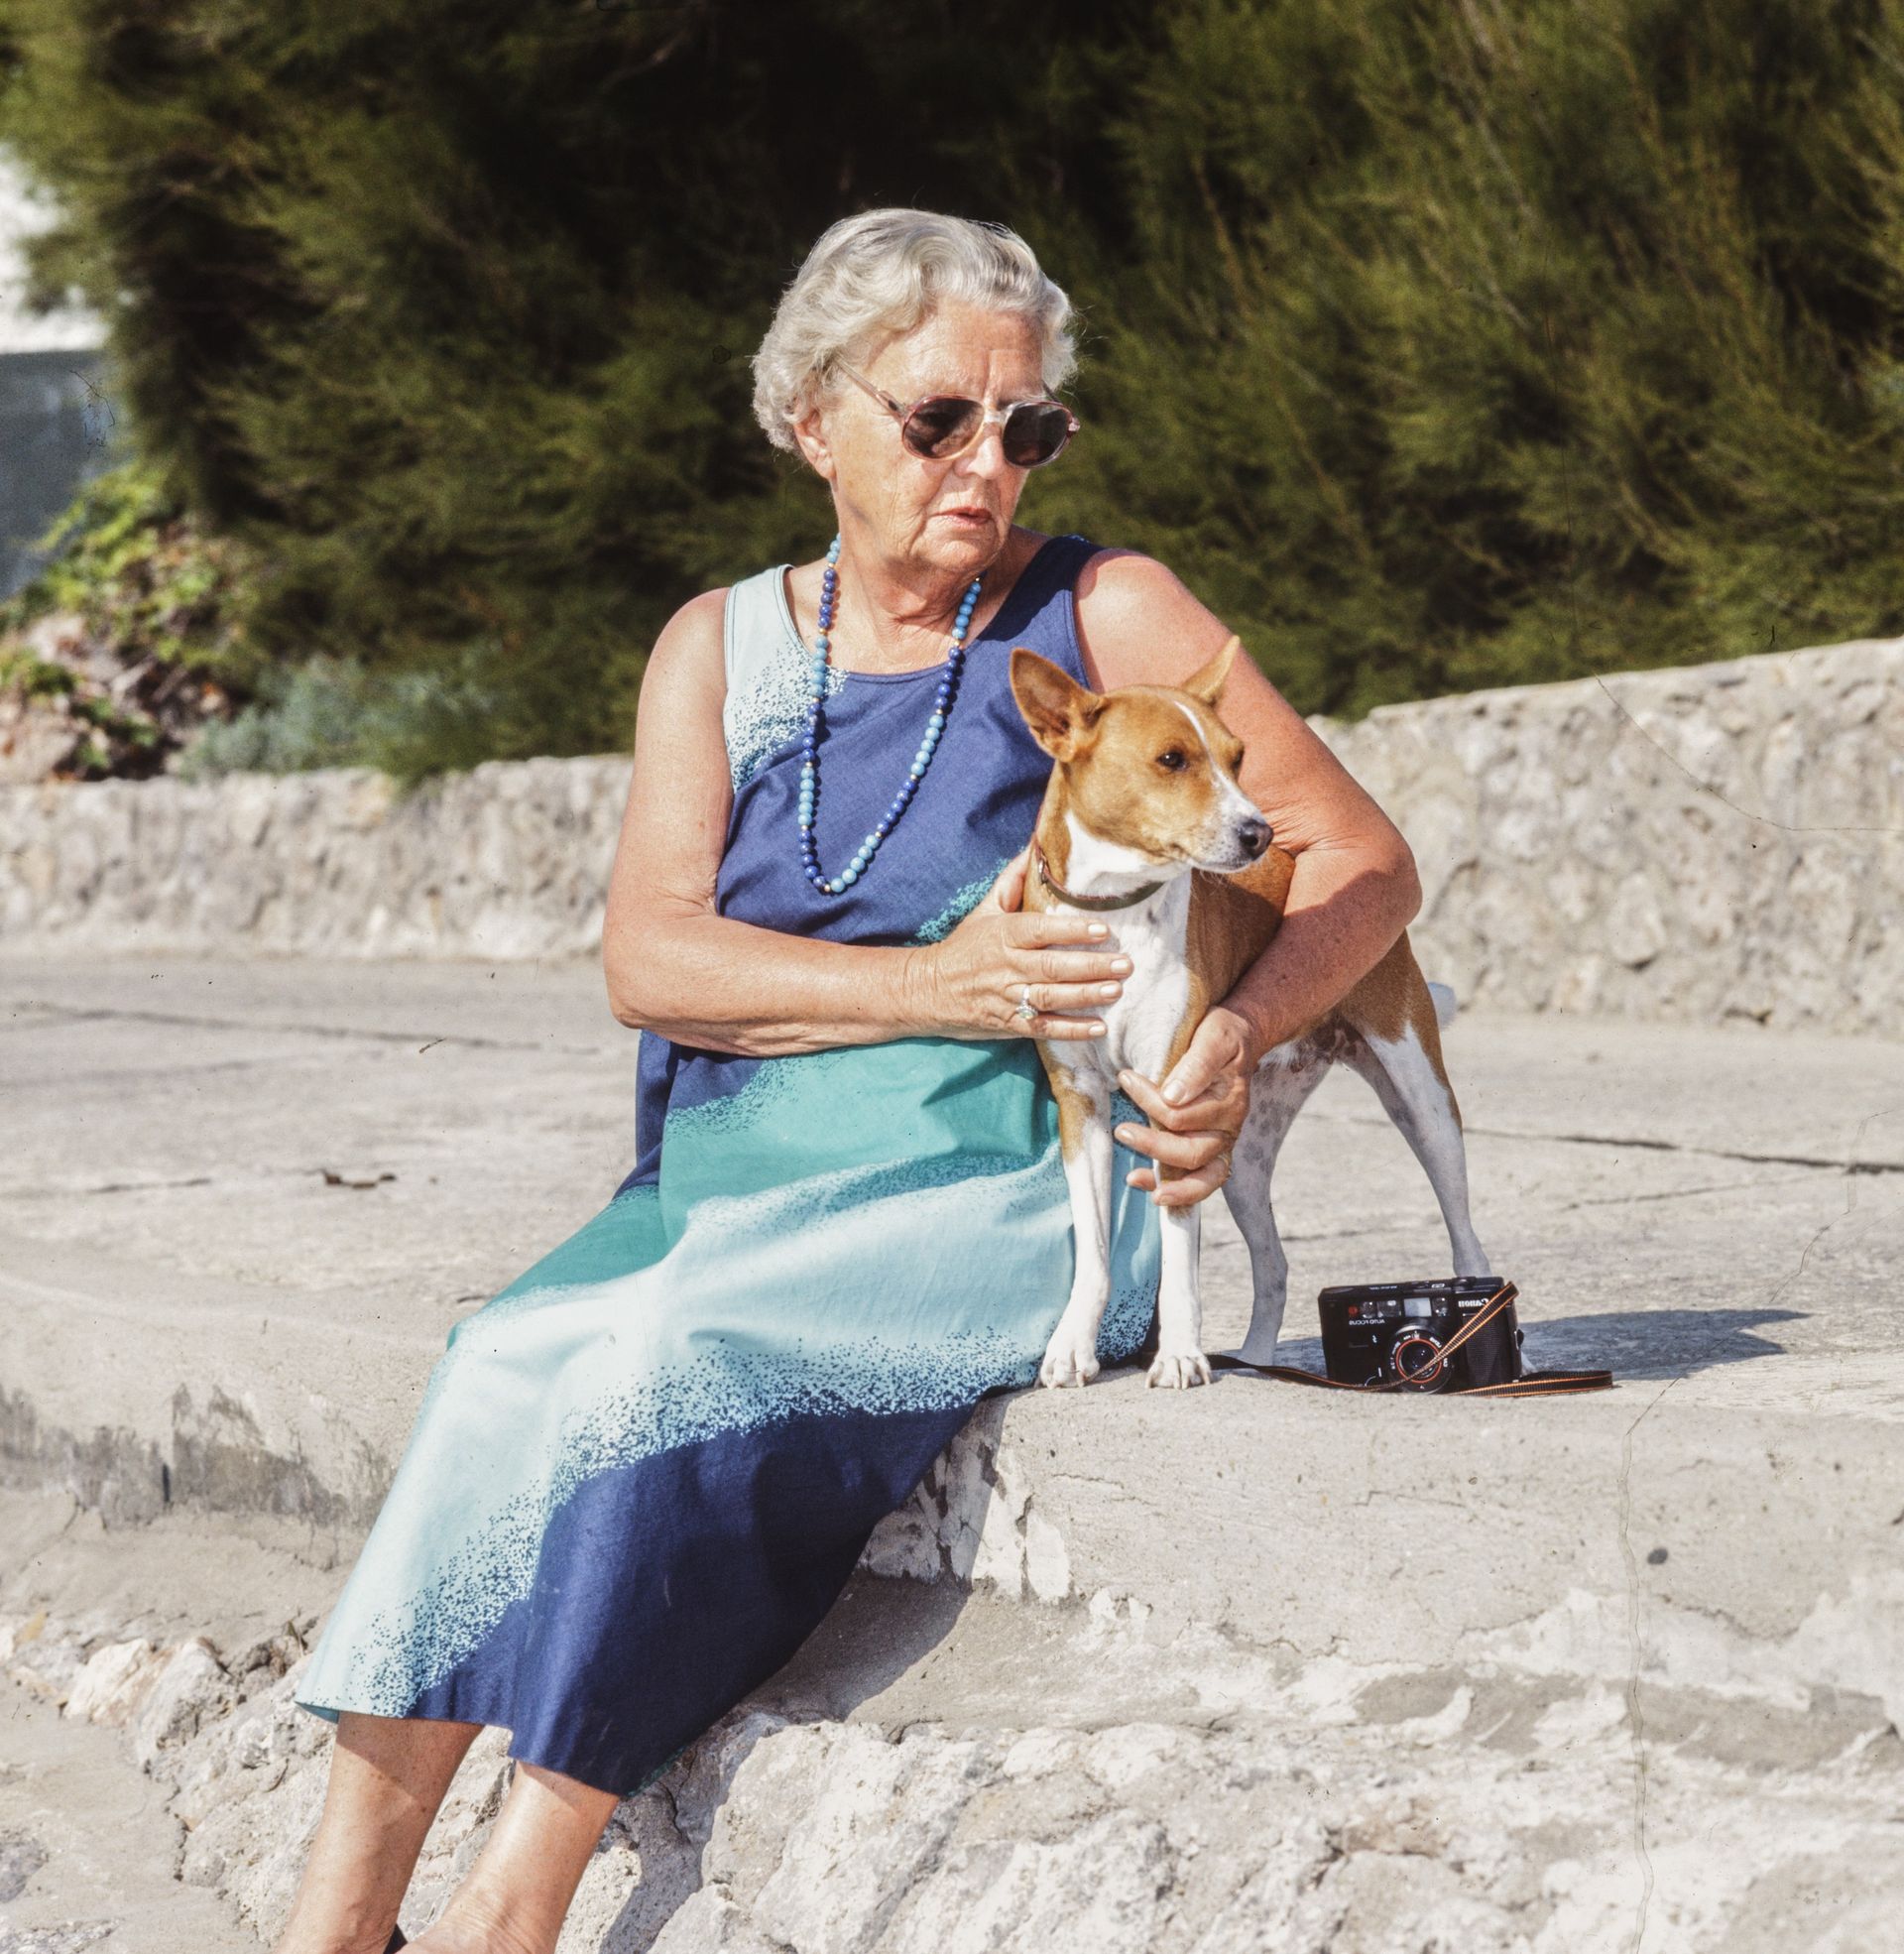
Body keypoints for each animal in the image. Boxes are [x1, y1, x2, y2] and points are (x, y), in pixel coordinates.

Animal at [1008, 641, 1499, 1391]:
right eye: (1172, 759)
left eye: (1237, 757)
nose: (1258, 832)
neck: (1116, 917)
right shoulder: (1081, 1106)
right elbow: (1092, 1250)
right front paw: (1071, 1347)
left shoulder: (1175, 1105)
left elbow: (1178, 1248)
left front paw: (1180, 1354)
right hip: (1241, 1156)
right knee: (1273, 1265)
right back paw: (1259, 1359)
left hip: (1422, 1103)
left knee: (1465, 1234)